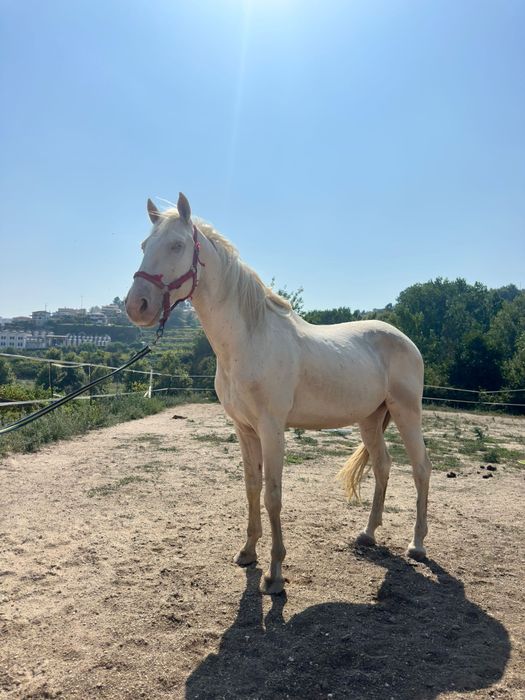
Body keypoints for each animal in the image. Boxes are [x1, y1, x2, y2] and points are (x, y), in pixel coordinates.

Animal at [125, 193, 433, 595]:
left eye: (176, 245)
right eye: (144, 245)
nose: (136, 306)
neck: (249, 340)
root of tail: (405, 340)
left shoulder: (272, 430)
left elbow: (273, 495)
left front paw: (274, 574)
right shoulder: (244, 430)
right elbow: (252, 488)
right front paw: (247, 553)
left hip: (406, 413)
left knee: (421, 469)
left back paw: (418, 544)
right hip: (370, 419)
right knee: (382, 466)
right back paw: (367, 534)